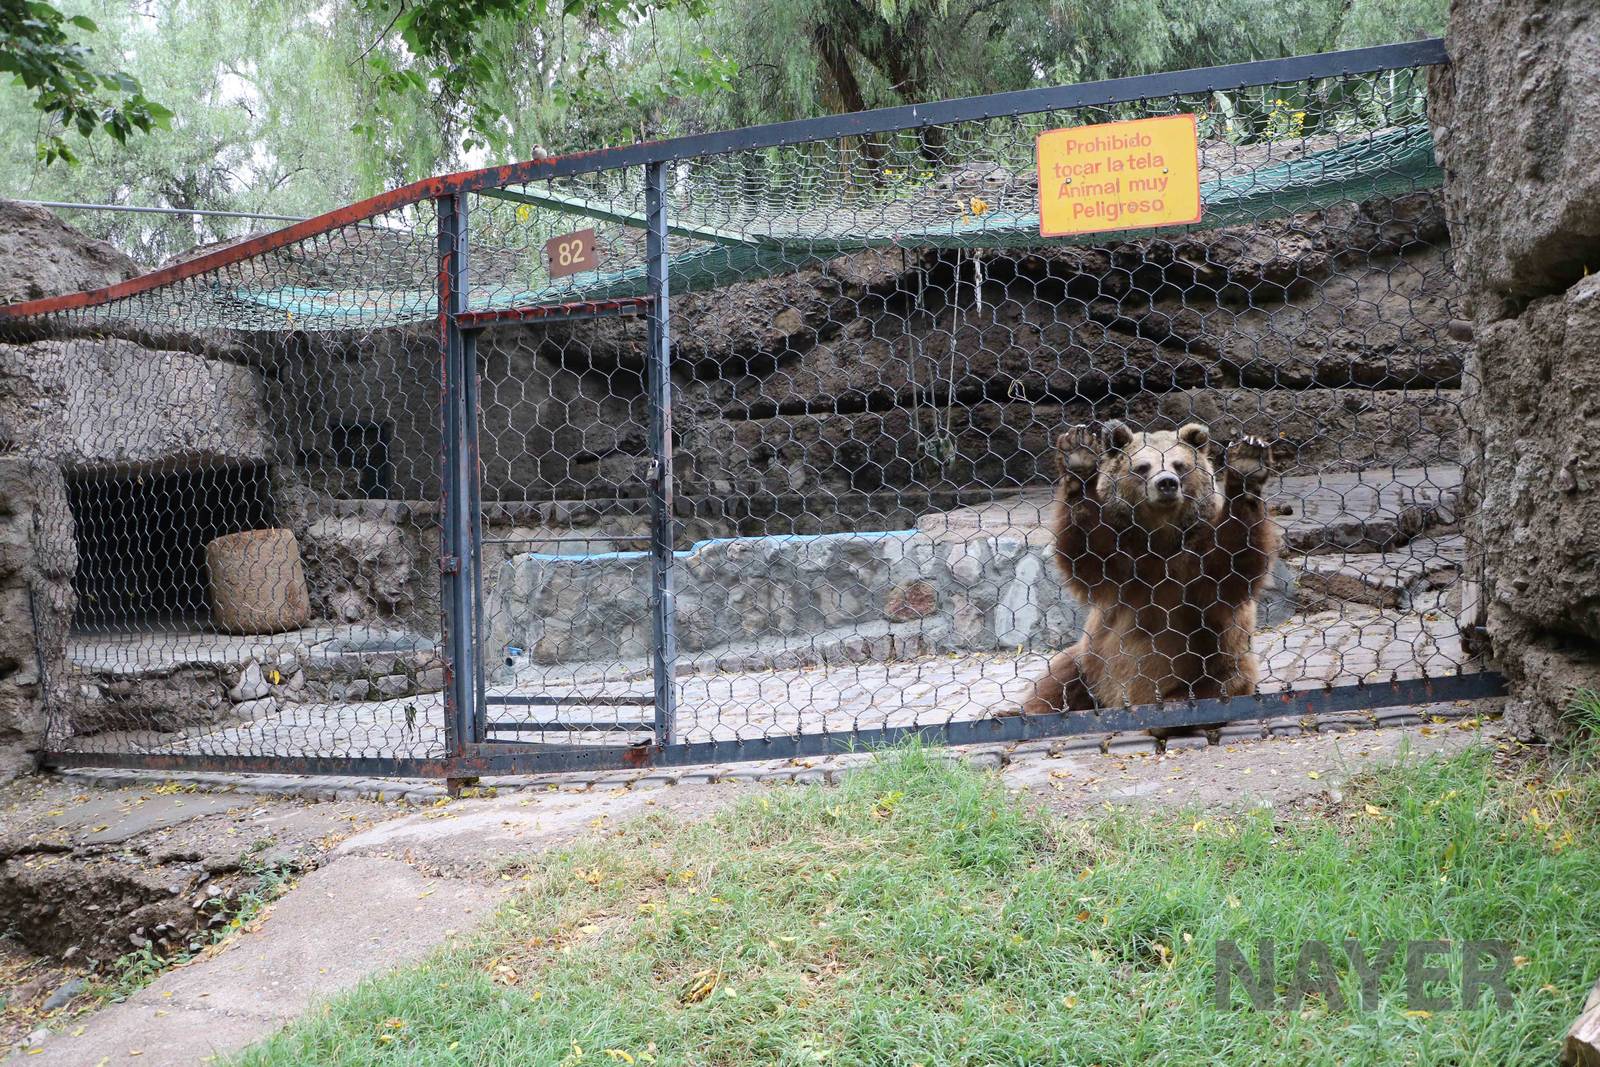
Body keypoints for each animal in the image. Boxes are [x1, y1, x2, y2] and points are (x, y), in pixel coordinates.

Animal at [1014, 419, 1279, 718]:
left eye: (1179, 464)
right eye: (1142, 466)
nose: (1166, 483)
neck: (1160, 540)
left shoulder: (1193, 568)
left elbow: (1230, 565)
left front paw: (1247, 463)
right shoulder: (1126, 566)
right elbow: (1088, 547)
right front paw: (1078, 456)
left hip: (1218, 668)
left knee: (1215, 686)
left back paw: (1176, 705)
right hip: (1090, 660)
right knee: (1059, 678)